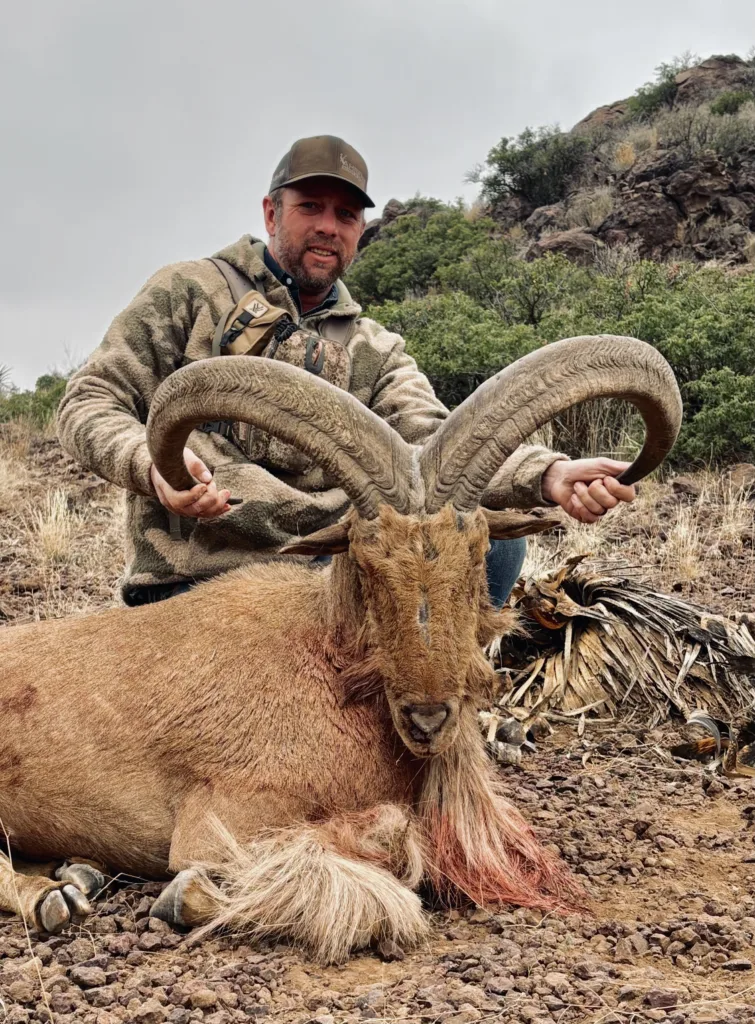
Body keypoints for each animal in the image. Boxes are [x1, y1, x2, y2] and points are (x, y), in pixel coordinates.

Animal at [0, 335, 682, 962]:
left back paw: (77, 873)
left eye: (476, 554)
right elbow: (382, 847)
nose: (428, 718)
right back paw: (55, 897)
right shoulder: (220, 822)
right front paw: (187, 898)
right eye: (365, 558)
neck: (332, 671)